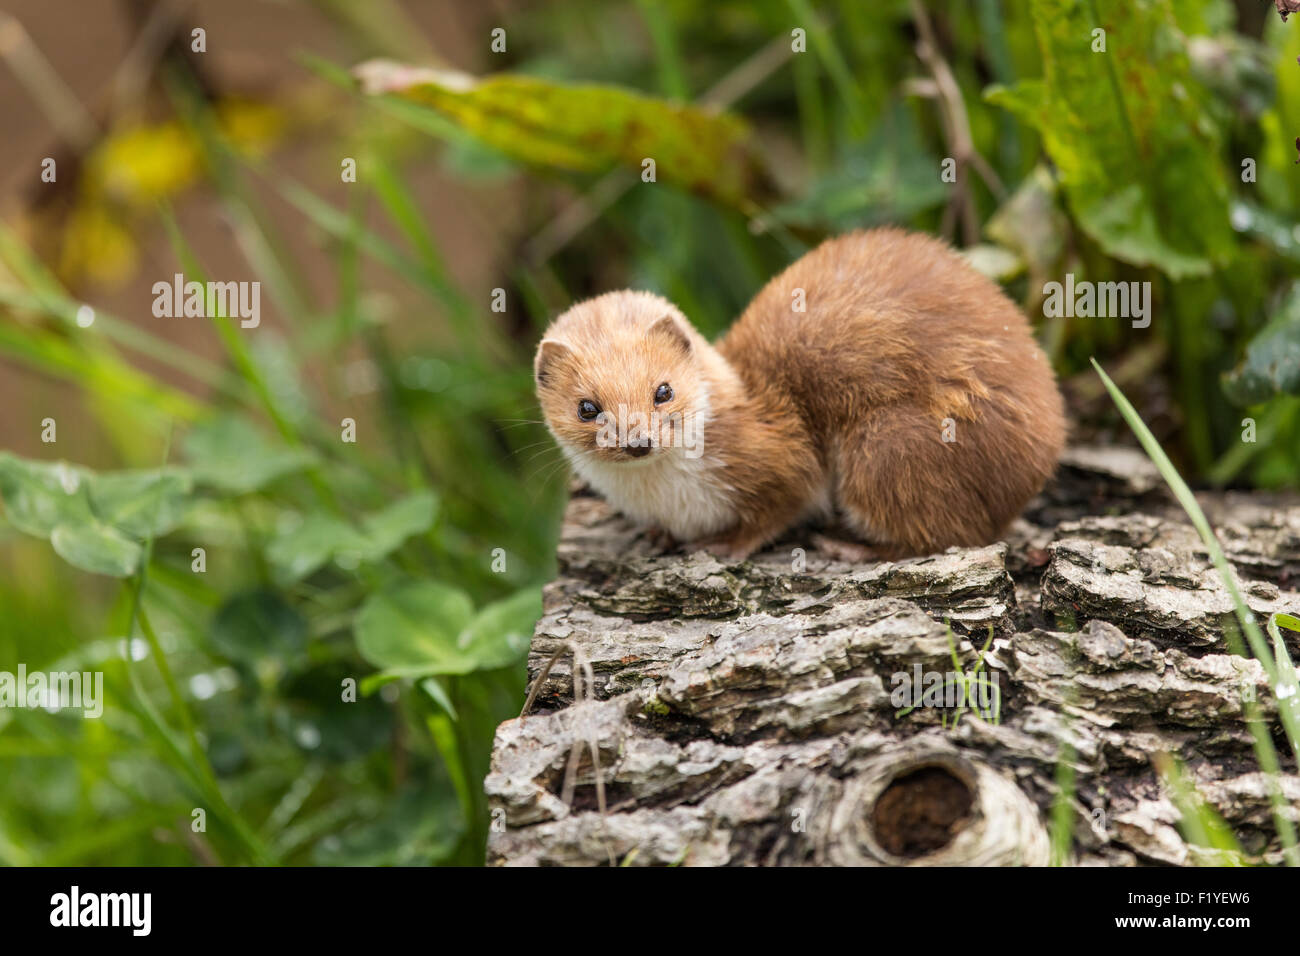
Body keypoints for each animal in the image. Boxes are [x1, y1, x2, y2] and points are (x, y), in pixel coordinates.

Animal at [530, 227, 1066, 561]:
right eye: (587, 407)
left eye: (663, 390)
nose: (637, 441)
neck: (667, 498)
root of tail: (1044, 448)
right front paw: (659, 536)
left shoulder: (780, 456)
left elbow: (784, 504)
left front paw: (726, 544)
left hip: (890, 446)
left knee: (945, 532)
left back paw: (851, 546)